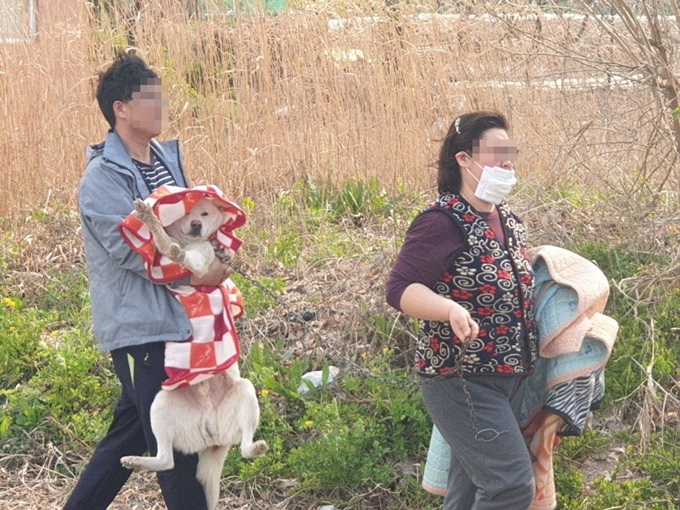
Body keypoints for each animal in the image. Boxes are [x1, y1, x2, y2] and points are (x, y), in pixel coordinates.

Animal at [122, 196, 266, 510]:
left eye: (205, 213)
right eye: (186, 212)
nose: (197, 224)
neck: (188, 240)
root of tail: (213, 439)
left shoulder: (200, 260)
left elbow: (171, 250)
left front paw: (160, 233)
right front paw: (151, 221)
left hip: (245, 391)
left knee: (246, 448)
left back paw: (257, 447)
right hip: (161, 405)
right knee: (166, 460)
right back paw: (136, 461)